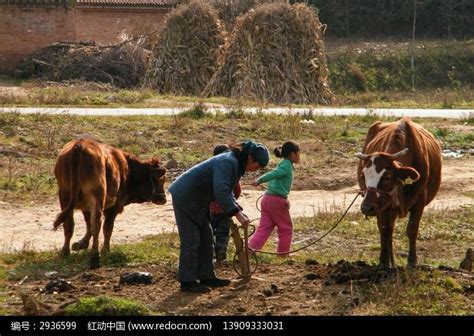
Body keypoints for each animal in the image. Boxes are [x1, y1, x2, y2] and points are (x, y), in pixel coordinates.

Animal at [53, 138, 167, 270]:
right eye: (161, 180)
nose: (163, 199)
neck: (127, 169)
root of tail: (79, 145)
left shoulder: (86, 207)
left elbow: (88, 224)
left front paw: (81, 243)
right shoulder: (114, 207)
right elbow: (107, 228)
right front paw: (106, 250)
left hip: (65, 196)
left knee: (69, 223)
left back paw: (65, 252)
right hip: (97, 195)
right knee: (97, 223)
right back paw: (95, 257)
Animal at [358, 118, 442, 268]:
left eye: (387, 177)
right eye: (363, 176)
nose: (367, 207)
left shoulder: (420, 200)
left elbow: (412, 229)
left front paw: (412, 261)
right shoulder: (384, 205)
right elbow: (385, 230)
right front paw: (384, 262)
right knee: (387, 230)